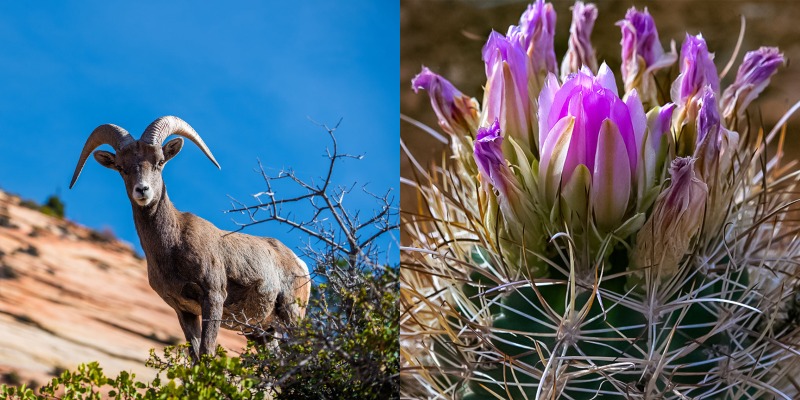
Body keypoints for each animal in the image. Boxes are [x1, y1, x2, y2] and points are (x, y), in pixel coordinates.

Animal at [68, 116, 310, 360]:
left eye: (160, 162)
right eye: (121, 167)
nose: (142, 191)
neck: (172, 246)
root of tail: (299, 262)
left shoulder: (213, 298)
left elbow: (207, 352)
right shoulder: (183, 310)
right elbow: (195, 357)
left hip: (291, 314)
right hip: (260, 331)